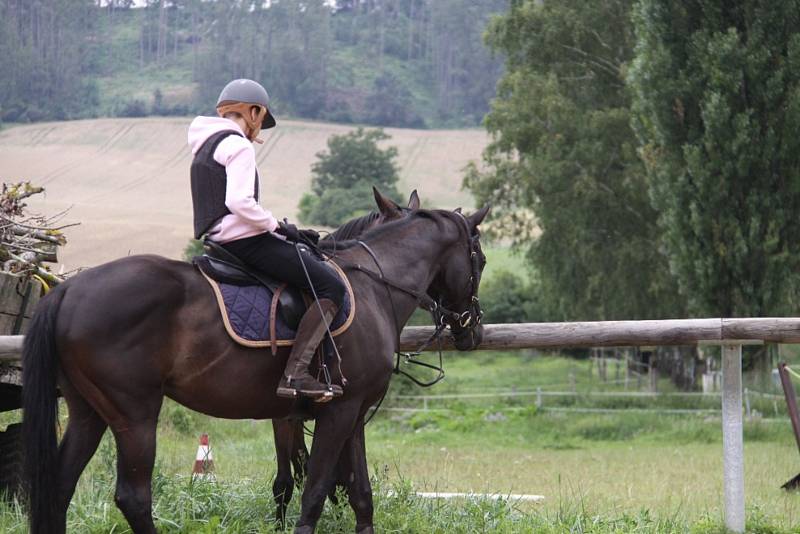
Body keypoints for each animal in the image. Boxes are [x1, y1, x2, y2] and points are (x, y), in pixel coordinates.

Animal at [21, 203, 488, 532]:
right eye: (480, 260)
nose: (472, 330)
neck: (374, 286)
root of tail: (67, 291)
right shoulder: (336, 413)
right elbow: (314, 492)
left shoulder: (353, 416)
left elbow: (360, 495)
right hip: (135, 415)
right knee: (133, 497)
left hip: (89, 412)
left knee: (59, 487)